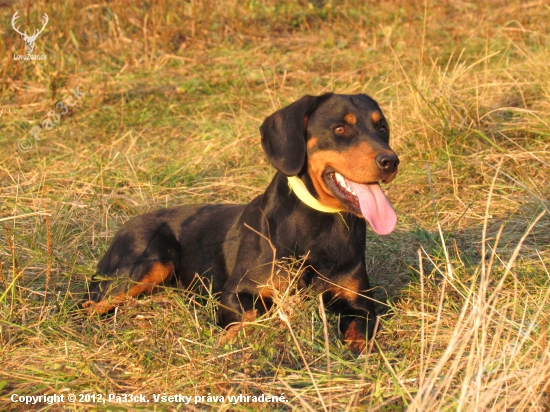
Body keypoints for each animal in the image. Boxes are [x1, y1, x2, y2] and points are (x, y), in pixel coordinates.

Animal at [82, 93, 398, 354]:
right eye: (340, 129)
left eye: (382, 128)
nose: (390, 161)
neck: (319, 227)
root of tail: (122, 228)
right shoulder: (235, 292)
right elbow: (253, 315)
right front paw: (231, 338)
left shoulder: (360, 303)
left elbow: (361, 330)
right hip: (149, 264)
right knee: (92, 304)